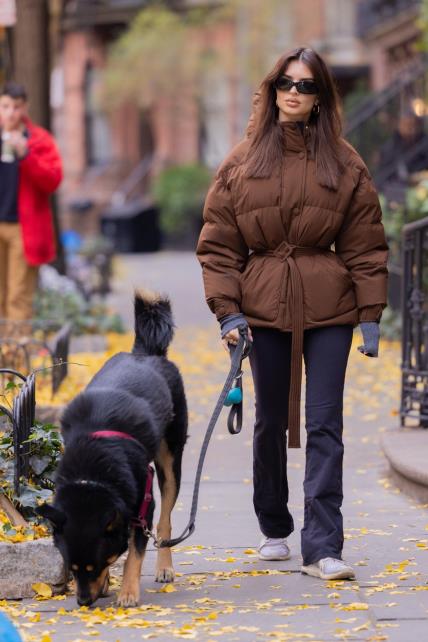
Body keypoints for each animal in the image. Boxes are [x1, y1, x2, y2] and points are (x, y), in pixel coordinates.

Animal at [37, 292, 188, 604]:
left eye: (96, 565)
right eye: (71, 569)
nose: (83, 602)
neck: (93, 473)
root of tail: (145, 352)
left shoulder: (143, 505)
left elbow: (135, 552)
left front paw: (128, 592)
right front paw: (107, 585)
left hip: (170, 461)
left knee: (164, 523)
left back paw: (164, 566)